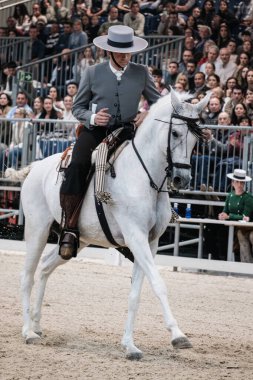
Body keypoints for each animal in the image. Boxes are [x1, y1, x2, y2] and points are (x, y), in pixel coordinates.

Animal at [6, 89, 210, 360]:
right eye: (175, 133)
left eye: (196, 139)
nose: (182, 179)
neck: (144, 177)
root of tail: (36, 167)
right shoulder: (136, 237)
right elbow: (159, 284)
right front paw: (178, 335)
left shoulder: (150, 243)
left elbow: (136, 293)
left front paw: (130, 345)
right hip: (37, 230)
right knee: (27, 275)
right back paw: (28, 331)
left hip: (75, 240)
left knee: (46, 268)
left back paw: (37, 325)